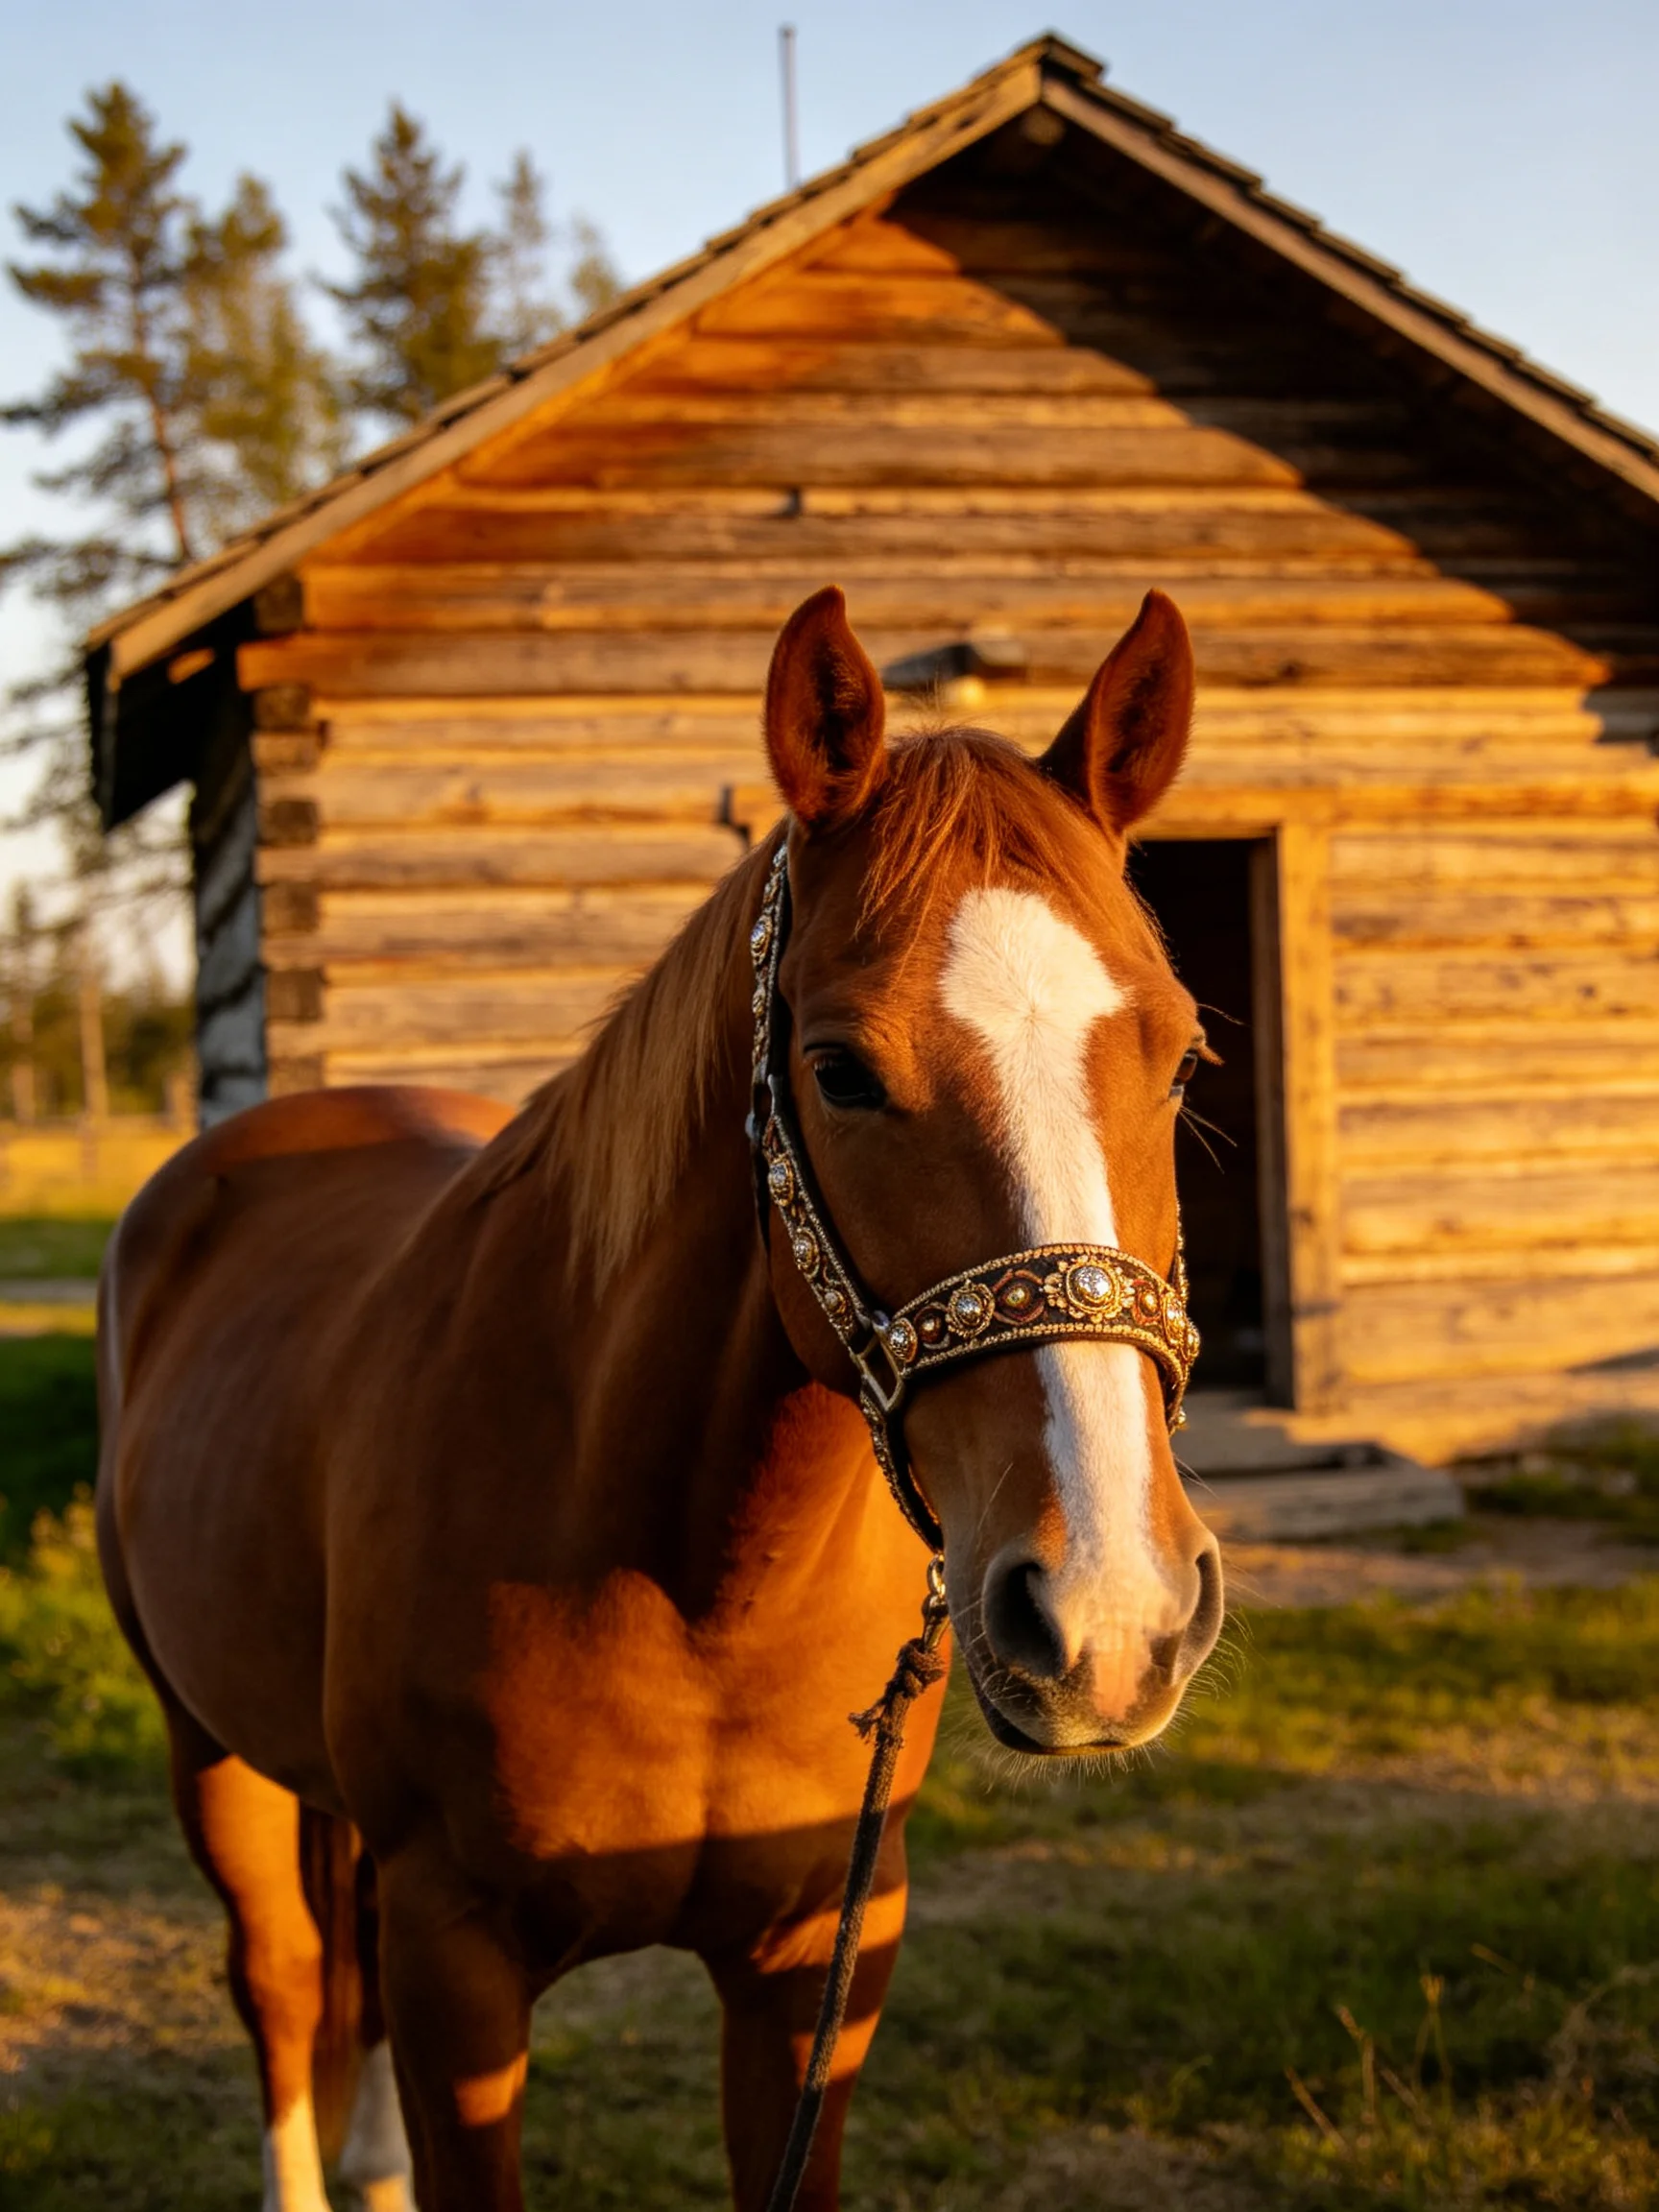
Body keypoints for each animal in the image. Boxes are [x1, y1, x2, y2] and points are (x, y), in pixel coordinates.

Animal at [95, 584, 1224, 2212]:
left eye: (1182, 1055)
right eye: (840, 1070)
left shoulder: (819, 1959)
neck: (694, 1591)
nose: (1110, 1614)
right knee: (284, 1977)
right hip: (208, 1751)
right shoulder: (459, 1973)